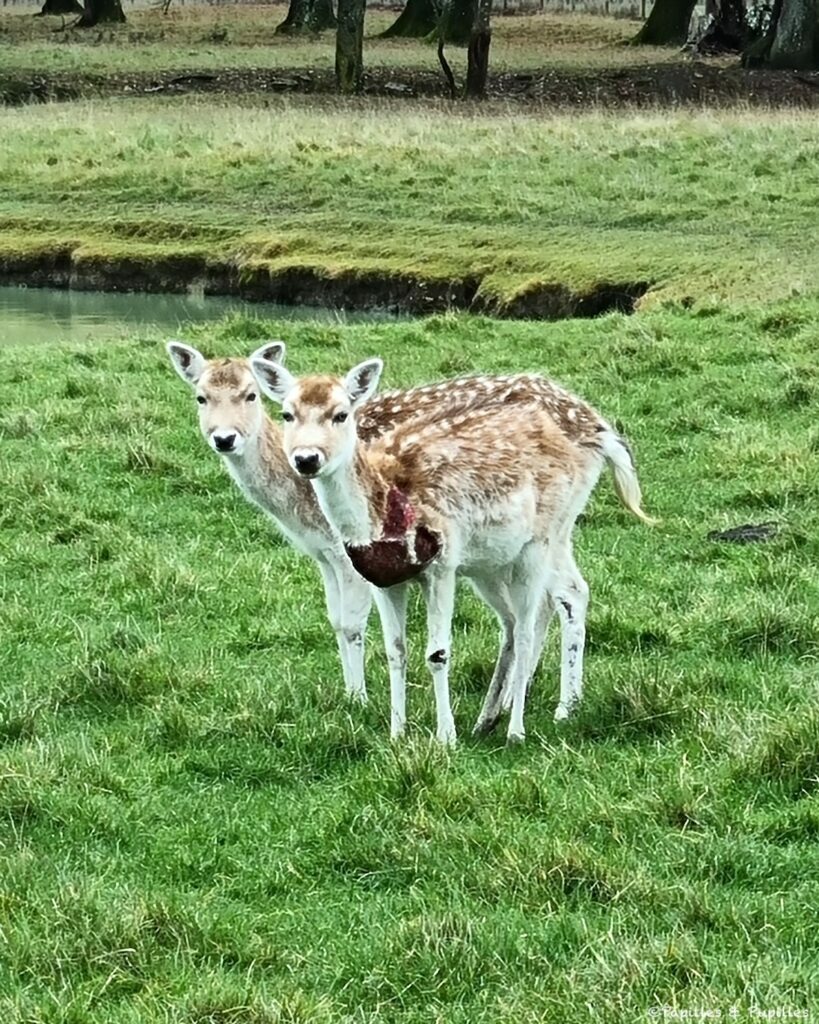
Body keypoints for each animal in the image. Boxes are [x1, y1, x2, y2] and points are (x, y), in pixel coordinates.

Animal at [252, 358, 651, 745]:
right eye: (287, 414)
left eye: (341, 414)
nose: (307, 458)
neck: (383, 507)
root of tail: (604, 434)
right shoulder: (382, 579)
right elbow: (395, 651)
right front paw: (397, 733)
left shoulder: (442, 563)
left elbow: (438, 653)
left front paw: (446, 737)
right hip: (490, 562)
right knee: (516, 619)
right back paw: (489, 718)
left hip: (543, 537)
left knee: (541, 614)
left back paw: (526, 725)